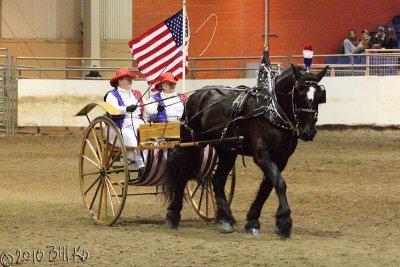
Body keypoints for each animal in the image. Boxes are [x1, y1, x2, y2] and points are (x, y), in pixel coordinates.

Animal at [162, 58, 328, 237]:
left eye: (319, 96)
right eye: (299, 93)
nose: (308, 132)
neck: (272, 110)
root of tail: (196, 95)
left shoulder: (281, 159)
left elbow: (267, 187)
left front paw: (253, 221)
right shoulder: (262, 156)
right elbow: (280, 183)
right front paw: (284, 222)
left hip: (227, 150)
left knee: (217, 180)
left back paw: (226, 218)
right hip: (191, 144)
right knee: (182, 174)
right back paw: (173, 215)